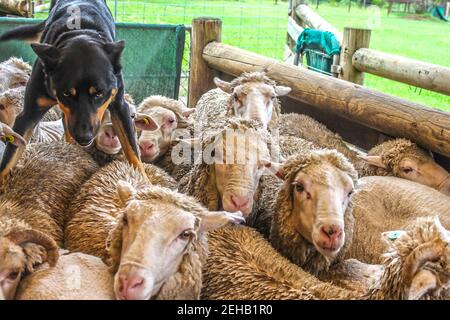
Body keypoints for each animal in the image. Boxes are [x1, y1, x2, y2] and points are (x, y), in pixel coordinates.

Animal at [0, 0, 148, 179]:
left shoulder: (120, 106)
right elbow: (10, 157)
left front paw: (144, 180)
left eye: (99, 93)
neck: (80, 32)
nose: (84, 137)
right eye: (66, 93)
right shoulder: (28, 115)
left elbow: (132, 150)